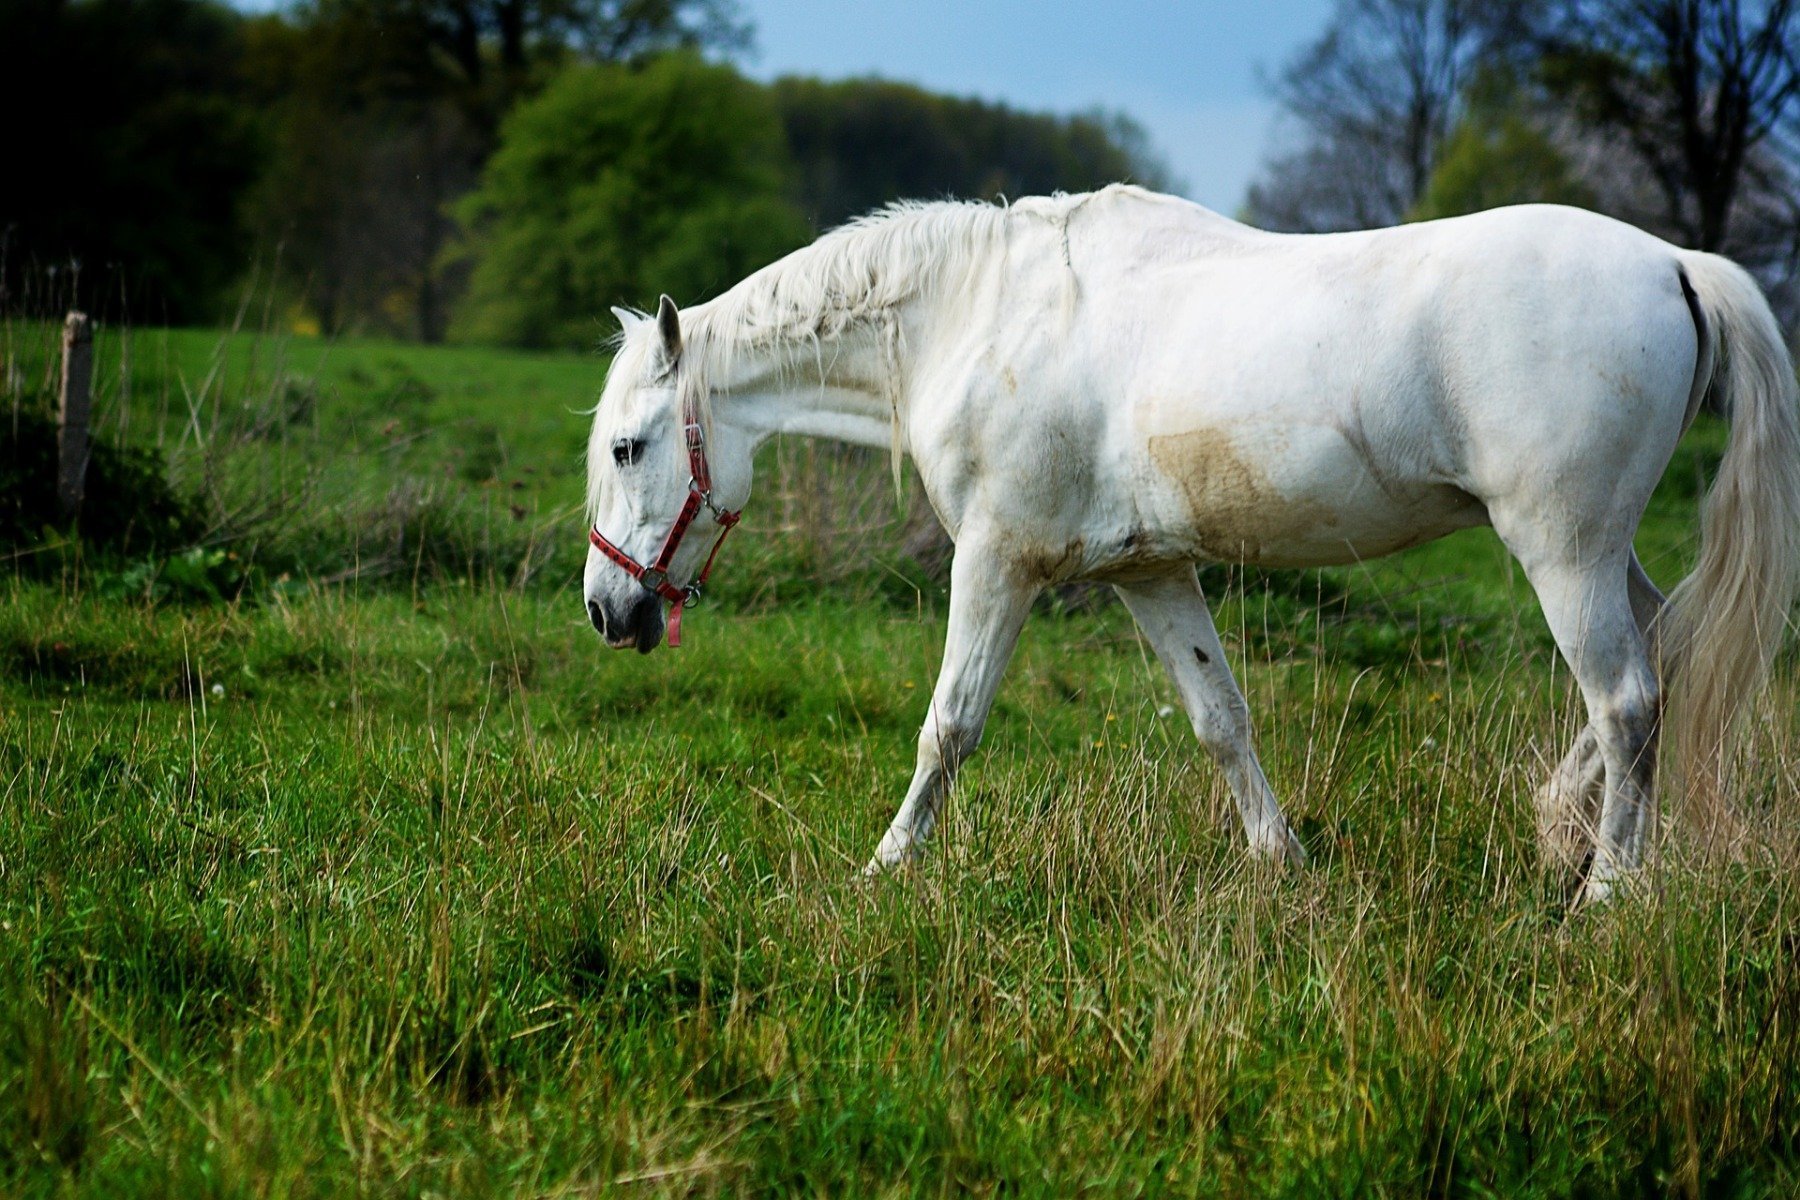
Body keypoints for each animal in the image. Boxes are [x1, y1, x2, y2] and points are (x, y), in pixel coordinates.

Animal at [579, 185, 1800, 899]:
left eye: (632, 448)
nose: (608, 609)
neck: (979, 315)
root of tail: (1675, 262)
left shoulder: (999, 561)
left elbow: (949, 727)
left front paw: (886, 867)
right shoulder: (1152, 572)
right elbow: (1222, 719)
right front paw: (1283, 864)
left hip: (1562, 549)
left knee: (1630, 698)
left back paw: (1607, 896)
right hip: (1598, 553)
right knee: (1668, 646)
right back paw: (1558, 829)